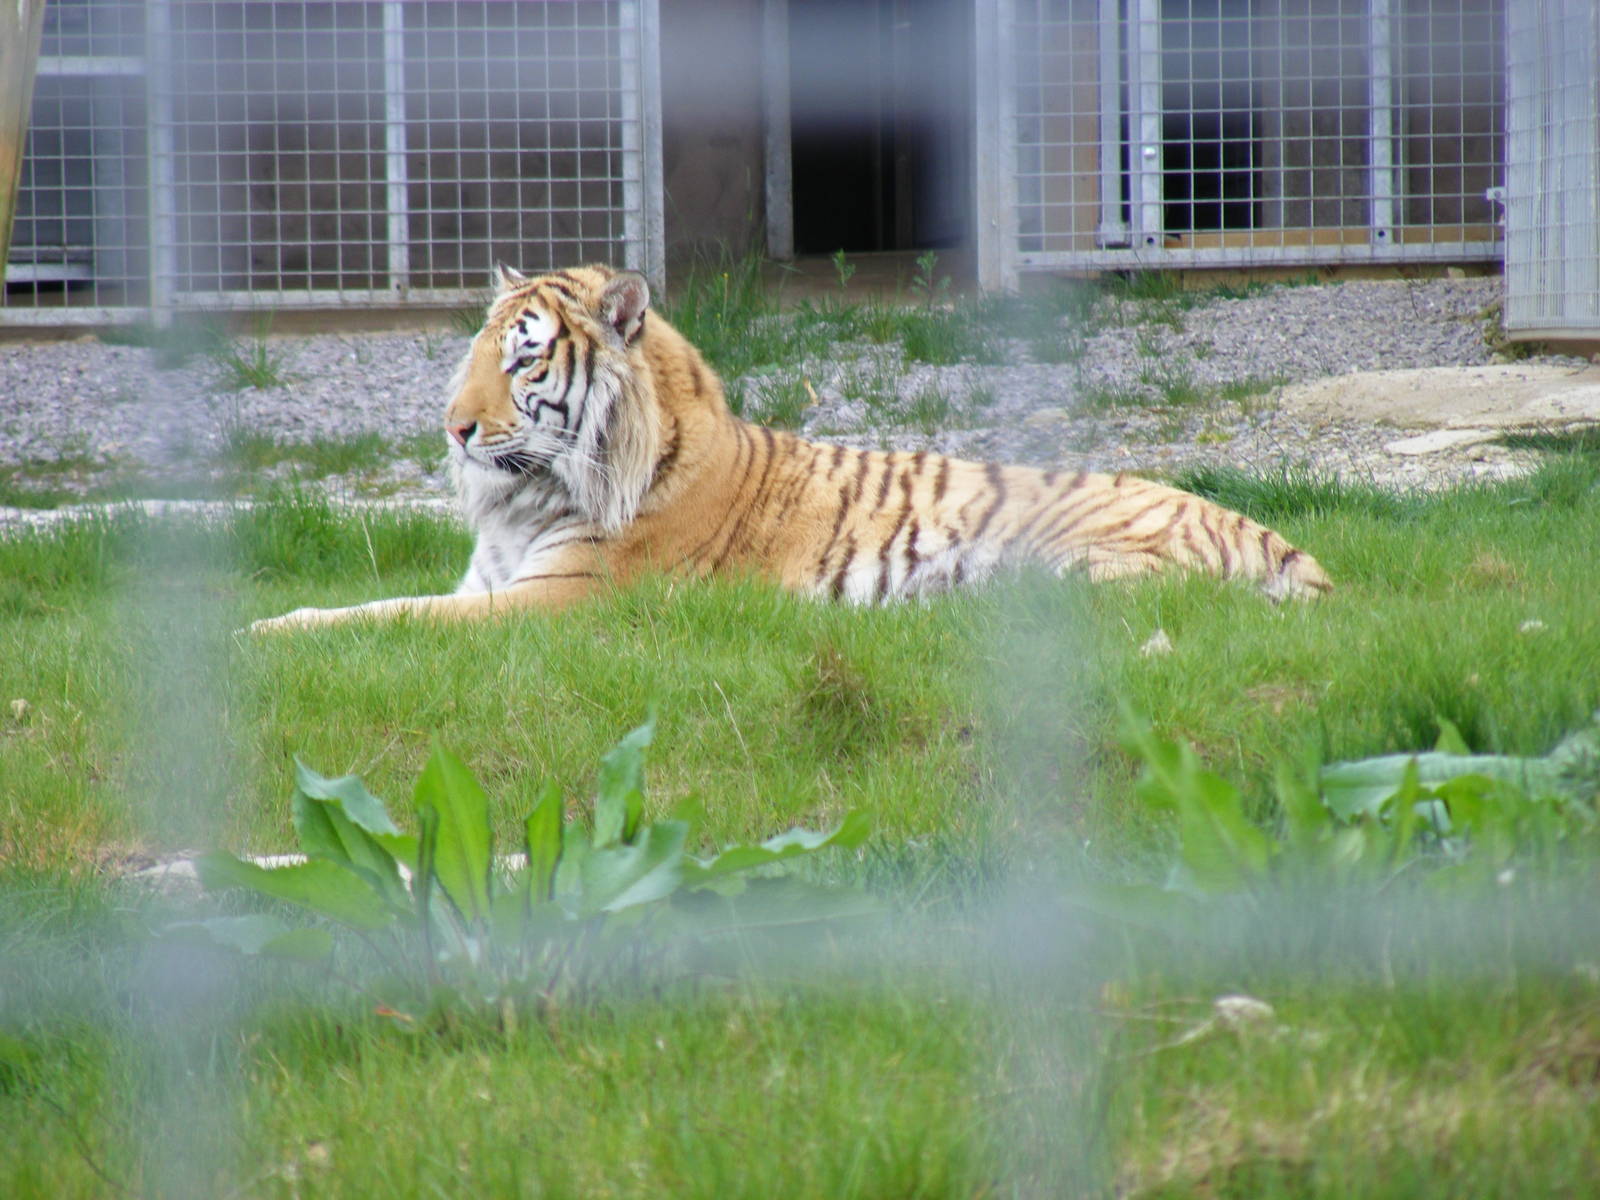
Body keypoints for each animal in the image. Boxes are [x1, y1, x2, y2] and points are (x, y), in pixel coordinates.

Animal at [249, 263, 1329, 632]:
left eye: (522, 358)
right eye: (475, 347)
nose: (454, 427)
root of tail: (1282, 542)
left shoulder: (548, 604)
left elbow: (391, 621)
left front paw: (259, 634)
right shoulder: (488, 583)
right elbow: (375, 604)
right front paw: (274, 620)